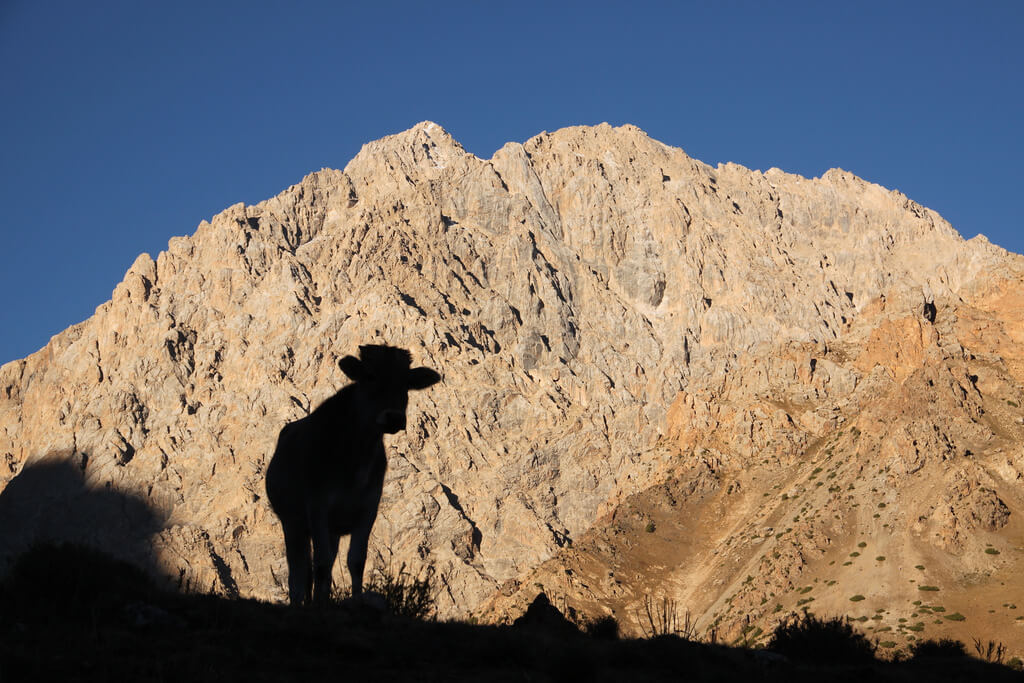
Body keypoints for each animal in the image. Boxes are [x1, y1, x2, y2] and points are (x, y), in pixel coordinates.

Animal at [265, 344, 441, 606]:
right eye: (370, 376)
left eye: (406, 383)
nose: (394, 417)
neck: (357, 458)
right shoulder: (318, 506)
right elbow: (321, 564)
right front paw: (319, 606)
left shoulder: (367, 508)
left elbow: (355, 561)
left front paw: (356, 598)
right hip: (292, 522)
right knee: (298, 571)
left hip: (331, 530)